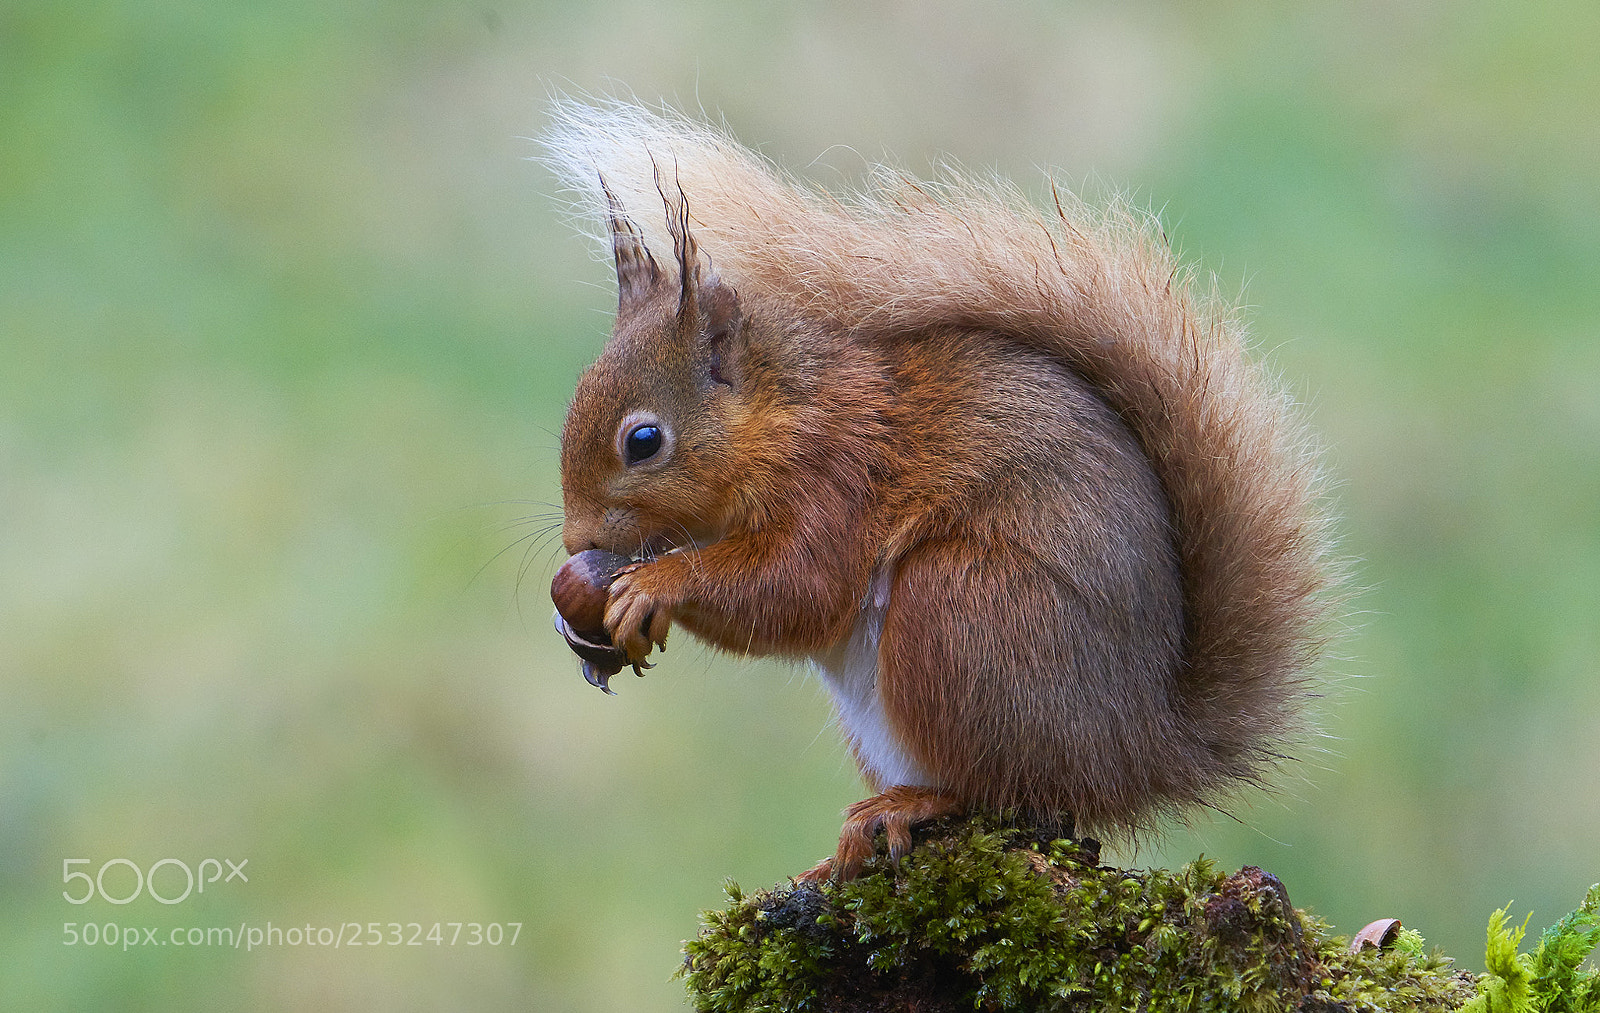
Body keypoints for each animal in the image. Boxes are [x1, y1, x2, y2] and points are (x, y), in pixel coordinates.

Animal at [541, 100, 1335, 880]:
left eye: (644, 441)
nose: (578, 540)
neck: (782, 413)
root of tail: (1135, 750)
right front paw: (582, 626)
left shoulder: (837, 479)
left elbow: (800, 589)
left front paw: (657, 585)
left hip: (959, 612)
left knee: (1003, 789)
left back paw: (913, 805)